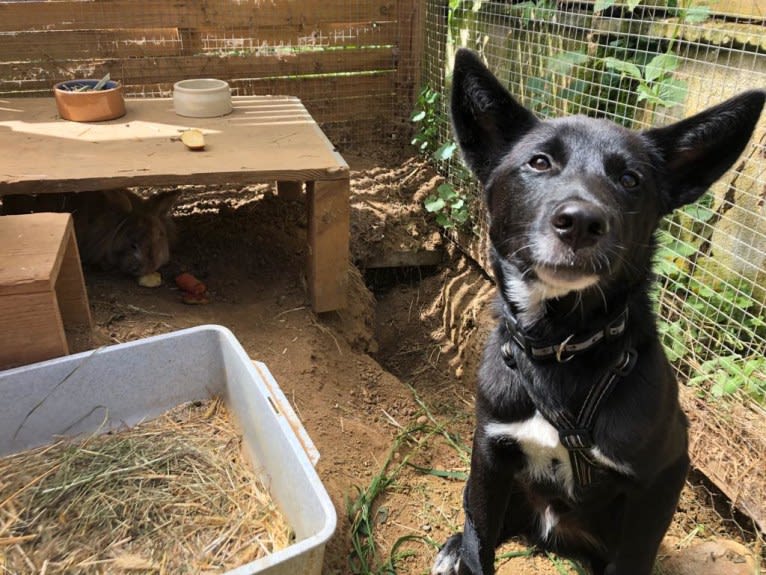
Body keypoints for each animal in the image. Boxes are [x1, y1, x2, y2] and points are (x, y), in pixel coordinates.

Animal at [436, 49, 764, 575]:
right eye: (539, 162)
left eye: (630, 179)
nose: (580, 222)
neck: (562, 345)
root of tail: (550, 532)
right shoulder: (488, 453)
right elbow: (479, 541)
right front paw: (464, 552)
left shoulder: (663, 476)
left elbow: (634, 553)